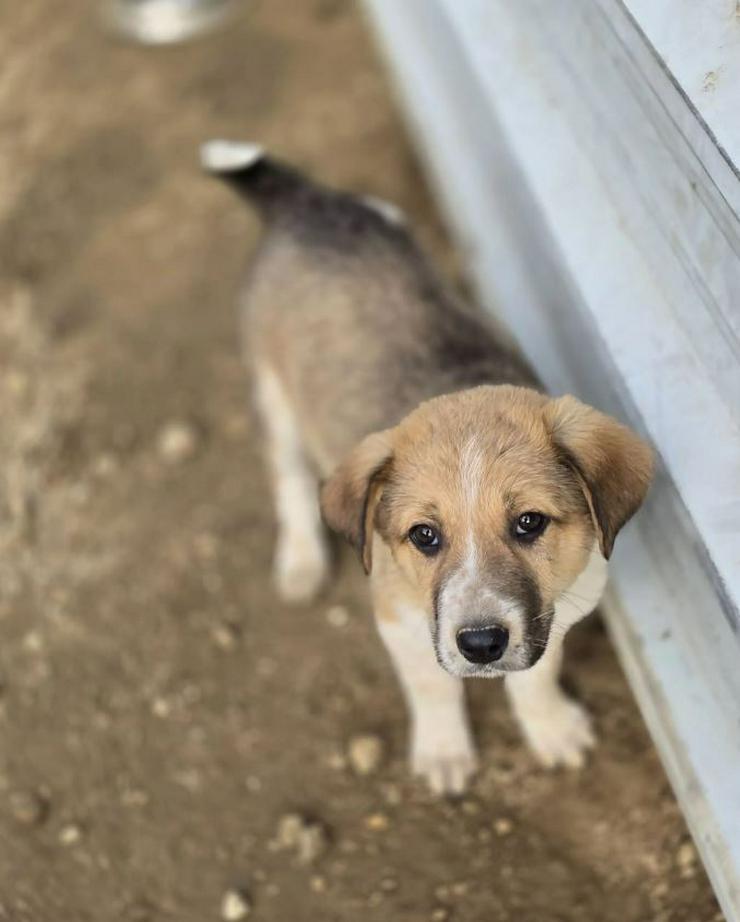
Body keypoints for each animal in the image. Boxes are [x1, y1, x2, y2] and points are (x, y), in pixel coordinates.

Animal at [201, 140, 652, 796]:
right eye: (424, 536)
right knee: (289, 481)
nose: (482, 644)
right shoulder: (398, 617)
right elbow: (433, 688)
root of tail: (306, 203)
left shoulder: (562, 610)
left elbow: (536, 674)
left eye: (530, 523)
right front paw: (443, 751)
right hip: (273, 392)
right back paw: (301, 561)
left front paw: (550, 728)